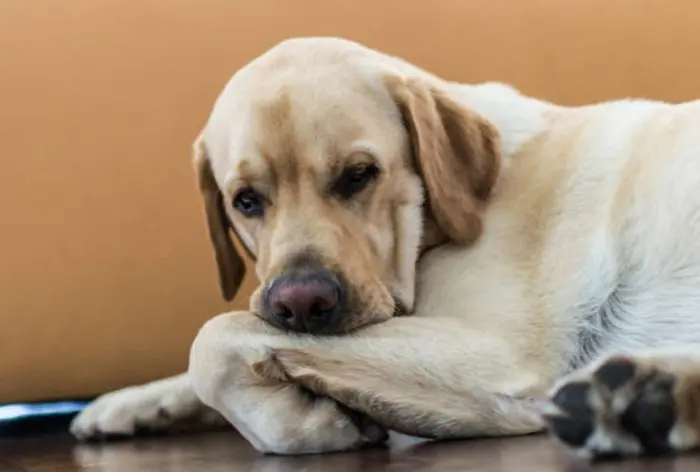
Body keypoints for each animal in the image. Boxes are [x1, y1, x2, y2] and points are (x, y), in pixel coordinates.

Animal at [69, 37, 700, 460]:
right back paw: (646, 396)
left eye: (358, 175)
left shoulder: (493, 357)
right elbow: (223, 345)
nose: (301, 304)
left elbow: (214, 337)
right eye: (245, 200)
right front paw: (129, 402)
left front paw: (304, 422)